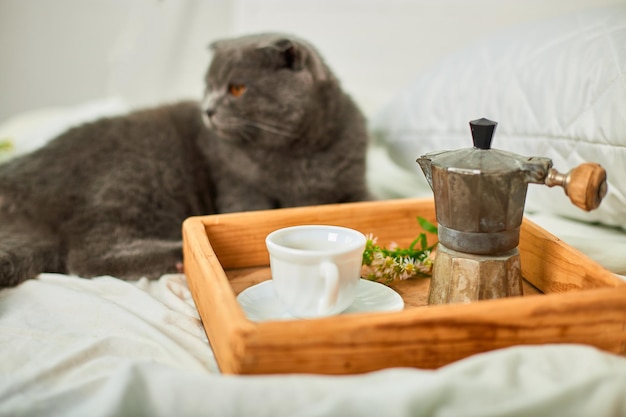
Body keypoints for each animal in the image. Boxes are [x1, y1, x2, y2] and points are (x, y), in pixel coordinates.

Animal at [0, 32, 370, 288]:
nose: (207, 109)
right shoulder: (238, 190)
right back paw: (177, 253)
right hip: (135, 174)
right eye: (207, 87)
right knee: (85, 253)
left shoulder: (355, 184)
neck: (299, 154)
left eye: (237, 89)